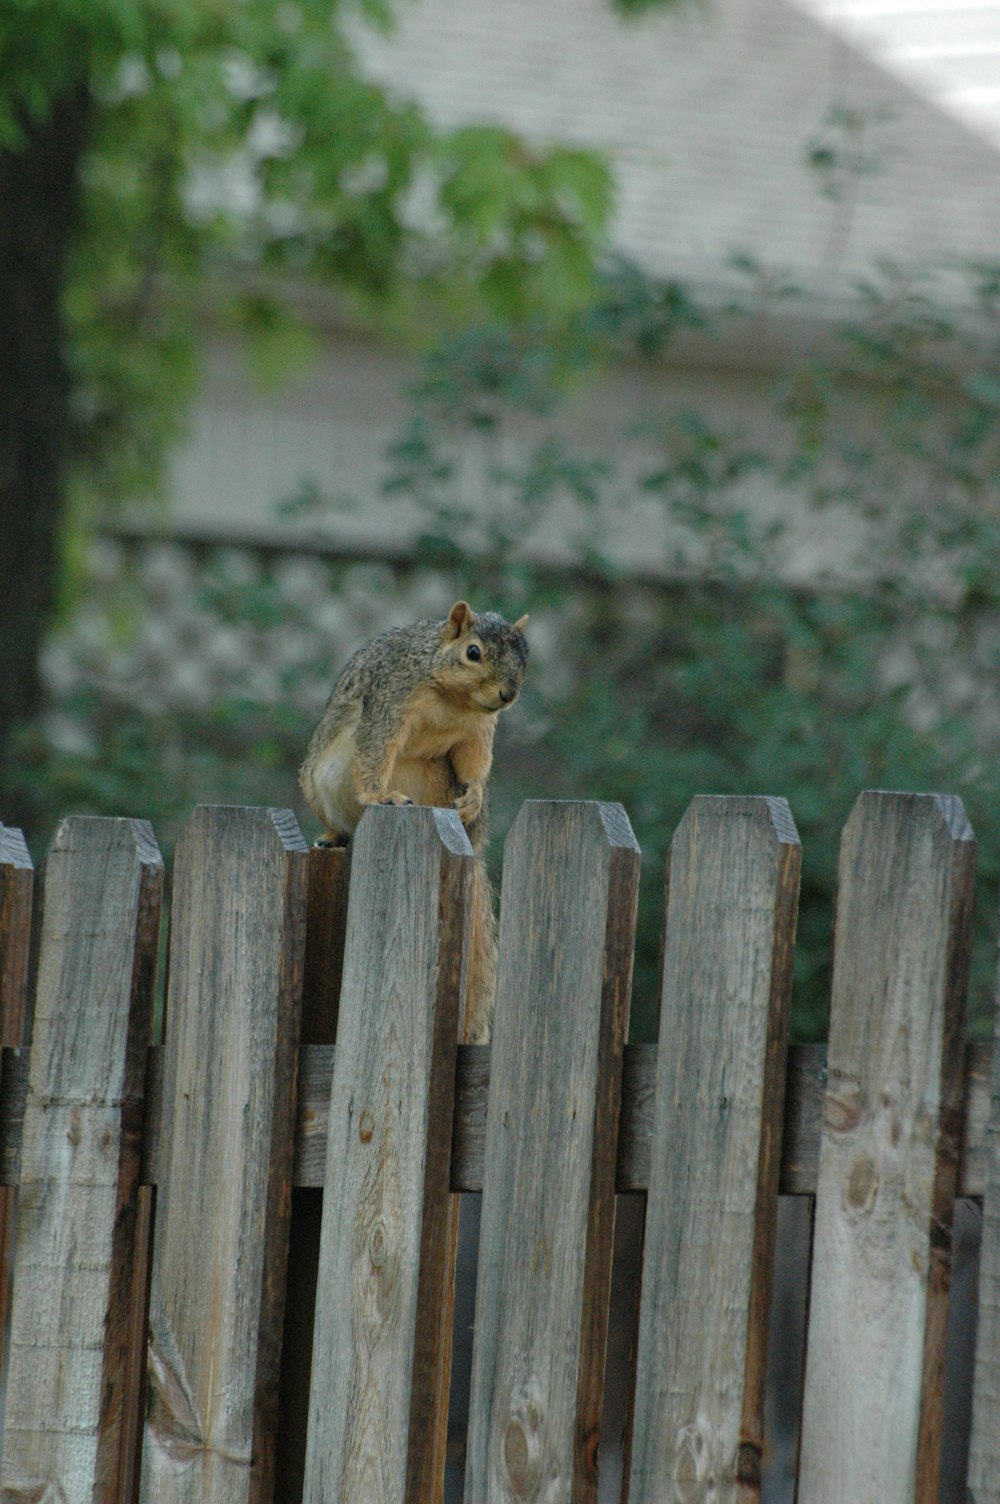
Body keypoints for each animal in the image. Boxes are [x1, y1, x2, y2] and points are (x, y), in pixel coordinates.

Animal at [297, 598, 526, 1046]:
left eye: (524, 654)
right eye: (473, 652)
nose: (508, 694)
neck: (455, 700)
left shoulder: (478, 730)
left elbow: (475, 762)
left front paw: (474, 795)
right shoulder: (391, 698)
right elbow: (376, 748)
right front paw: (378, 794)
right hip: (319, 778)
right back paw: (335, 835)